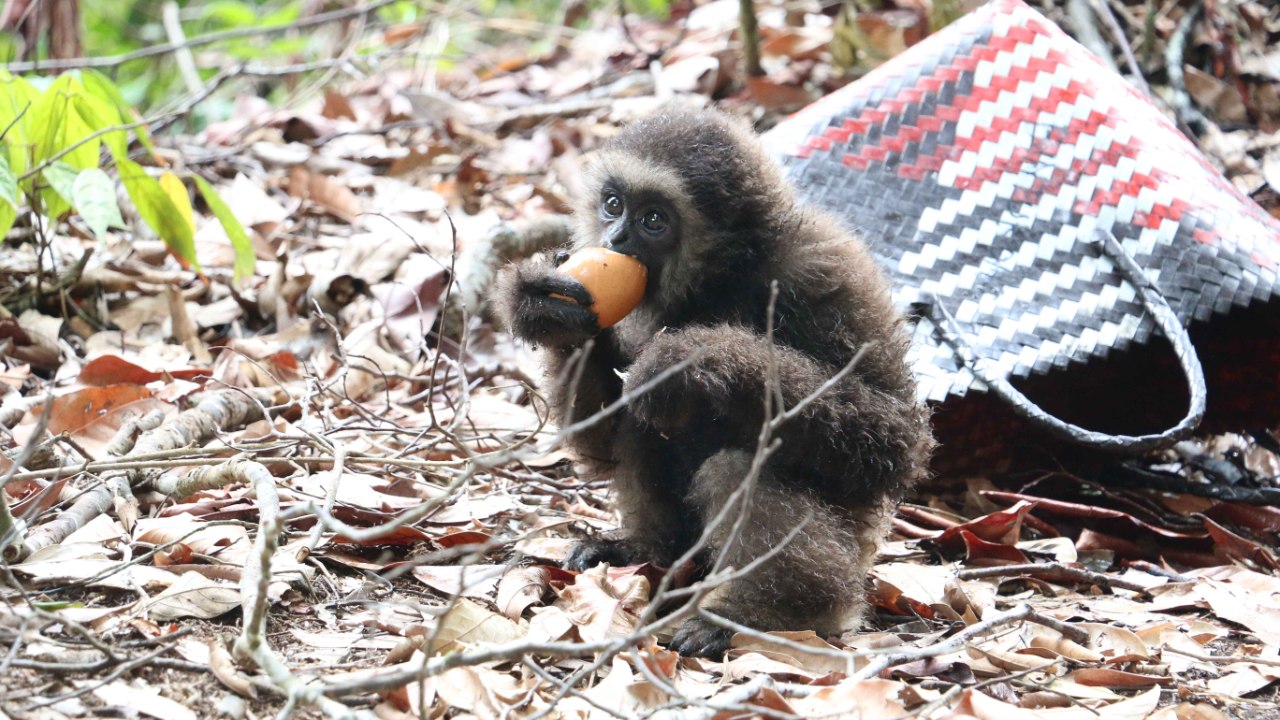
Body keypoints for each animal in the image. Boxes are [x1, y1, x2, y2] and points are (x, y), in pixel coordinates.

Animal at [492, 106, 933, 659]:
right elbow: (605, 437)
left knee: (732, 466)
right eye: (613, 205)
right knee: (643, 421)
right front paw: (544, 310)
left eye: (653, 220)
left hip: (854, 547)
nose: (614, 241)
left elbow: (895, 442)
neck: (723, 278)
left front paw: (695, 360)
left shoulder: (824, 270)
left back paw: (769, 613)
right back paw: (649, 551)